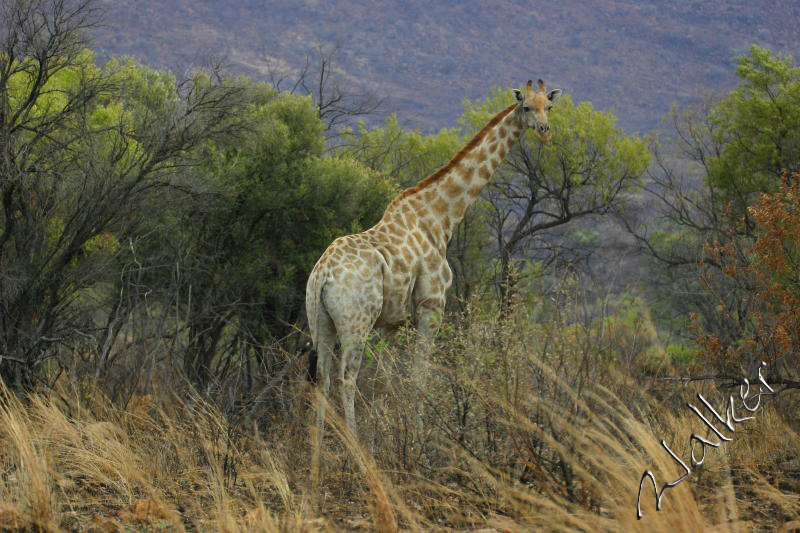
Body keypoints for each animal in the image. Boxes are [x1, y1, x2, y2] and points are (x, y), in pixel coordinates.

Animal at [306, 77, 564, 464]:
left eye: (548, 106)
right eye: (525, 107)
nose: (545, 132)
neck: (441, 218)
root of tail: (322, 274)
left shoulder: (395, 323)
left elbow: (395, 381)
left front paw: (398, 438)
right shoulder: (432, 306)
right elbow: (419, 377)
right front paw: (419, 446)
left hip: (319, 320)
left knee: (322, 378)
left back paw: (317, 454)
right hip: (356, 321)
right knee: (346, 378)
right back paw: (358, 452)